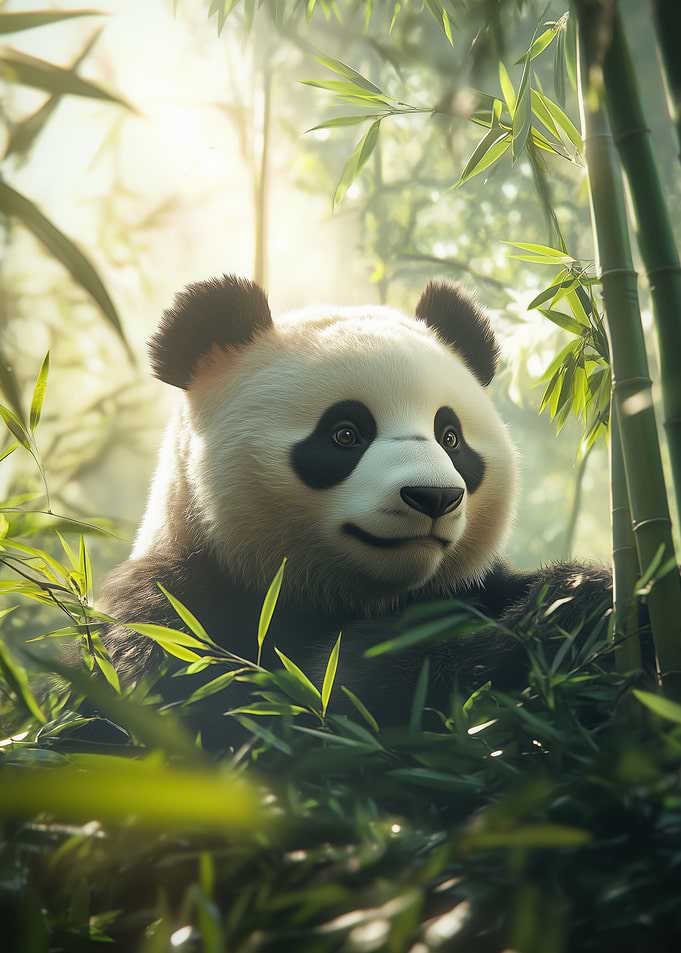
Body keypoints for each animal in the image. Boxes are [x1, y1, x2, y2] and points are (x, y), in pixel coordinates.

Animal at [99, 274, 613, 739]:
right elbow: (273, 714)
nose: (434, 497)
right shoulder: (174, 607)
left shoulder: (474, 586)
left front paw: (573, 598)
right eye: (345, 434)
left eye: (450, 437)